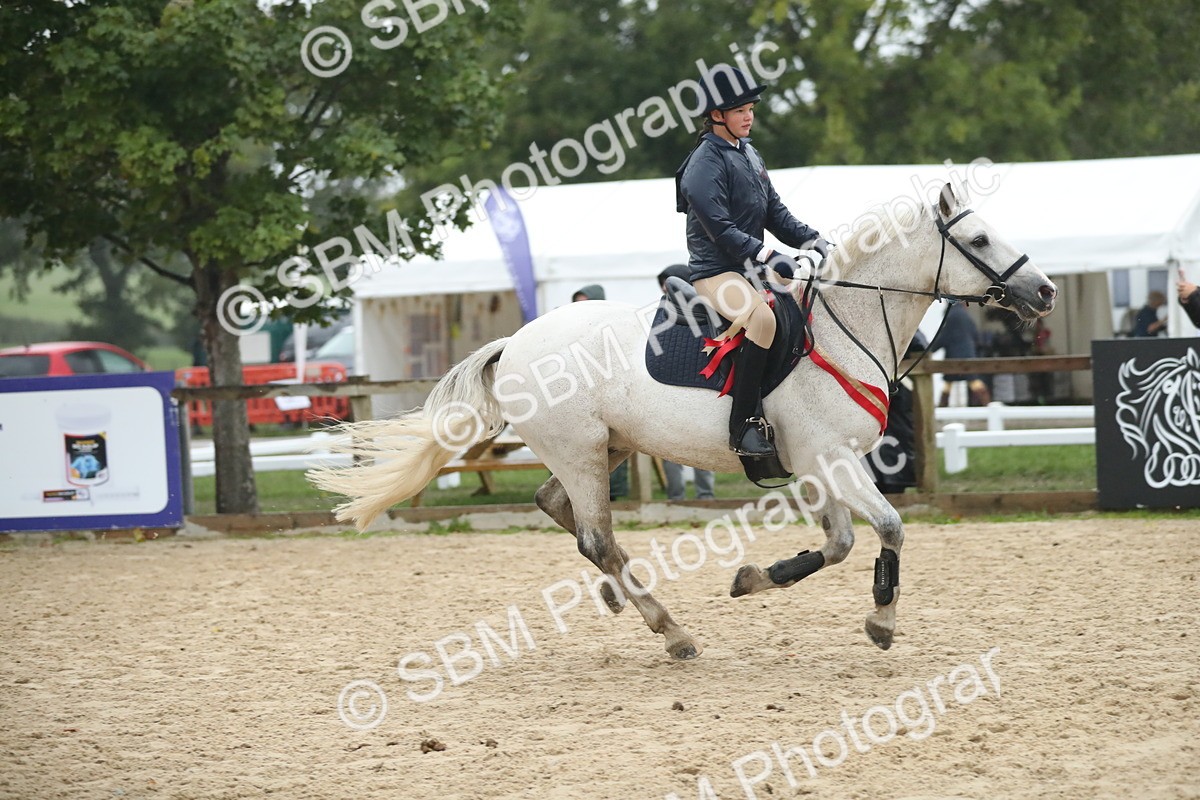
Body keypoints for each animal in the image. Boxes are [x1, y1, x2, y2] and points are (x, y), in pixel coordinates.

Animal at [309, 183, 1058, 660]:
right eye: (980, 238)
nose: (1044, 289)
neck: (845, 327)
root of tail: (515, 342)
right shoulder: (830, 460)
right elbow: (890, 528)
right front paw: (880, 621)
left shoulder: (820, 466)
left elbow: (841, 542)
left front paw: (755, 578)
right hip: (583, 453)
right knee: (596, 537)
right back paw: (670, 630)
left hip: (603, 450)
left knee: (560, 509)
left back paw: (618, 599)